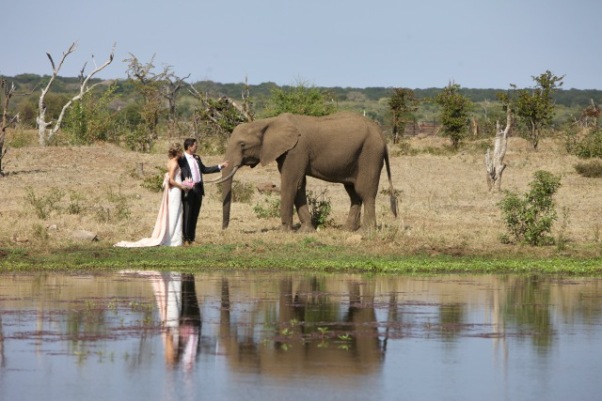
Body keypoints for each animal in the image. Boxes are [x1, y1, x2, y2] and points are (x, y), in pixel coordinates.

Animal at [218, 111, 396, 231]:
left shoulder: (296, 150)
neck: (269, 122)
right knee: (354, 192)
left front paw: (284, 231)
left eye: (242, 144)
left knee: (365, 191)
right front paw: (306, 231)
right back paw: (347, 230)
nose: (225, 229)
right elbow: (299, 185)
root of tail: (380, 132)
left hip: (371, 153)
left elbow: (291, 183)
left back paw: (367, 231)